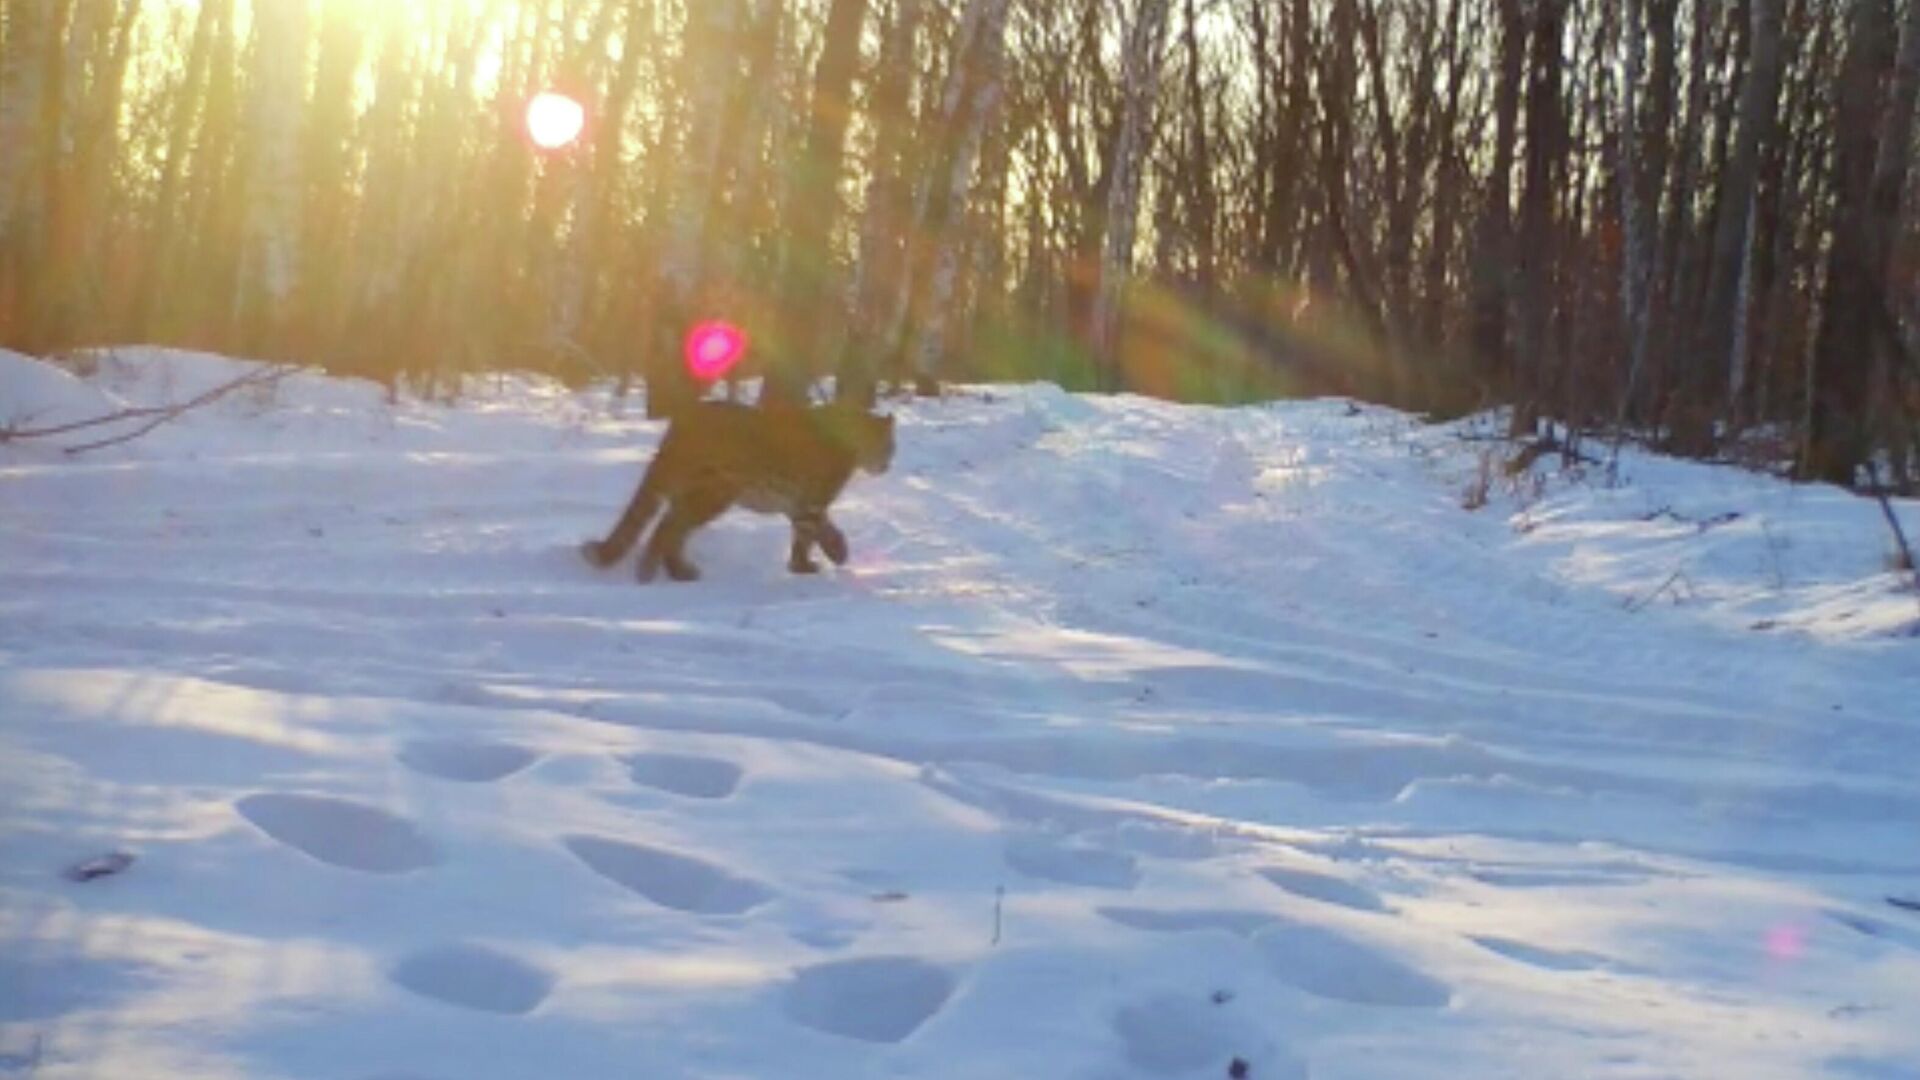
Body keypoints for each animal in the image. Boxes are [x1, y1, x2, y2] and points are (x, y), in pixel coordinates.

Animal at [579, 397, 894, 580]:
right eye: (889, 445)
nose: (888, 464)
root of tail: (683, 419)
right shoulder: (812, 501)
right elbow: (809, 533)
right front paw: (810, 563)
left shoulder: (799, 502)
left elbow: (818, 528)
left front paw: (827, 554)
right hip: (715, 494)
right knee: (670, 528)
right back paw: (656, 572)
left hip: (698, 493)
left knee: (672, 526)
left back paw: (676, 570)